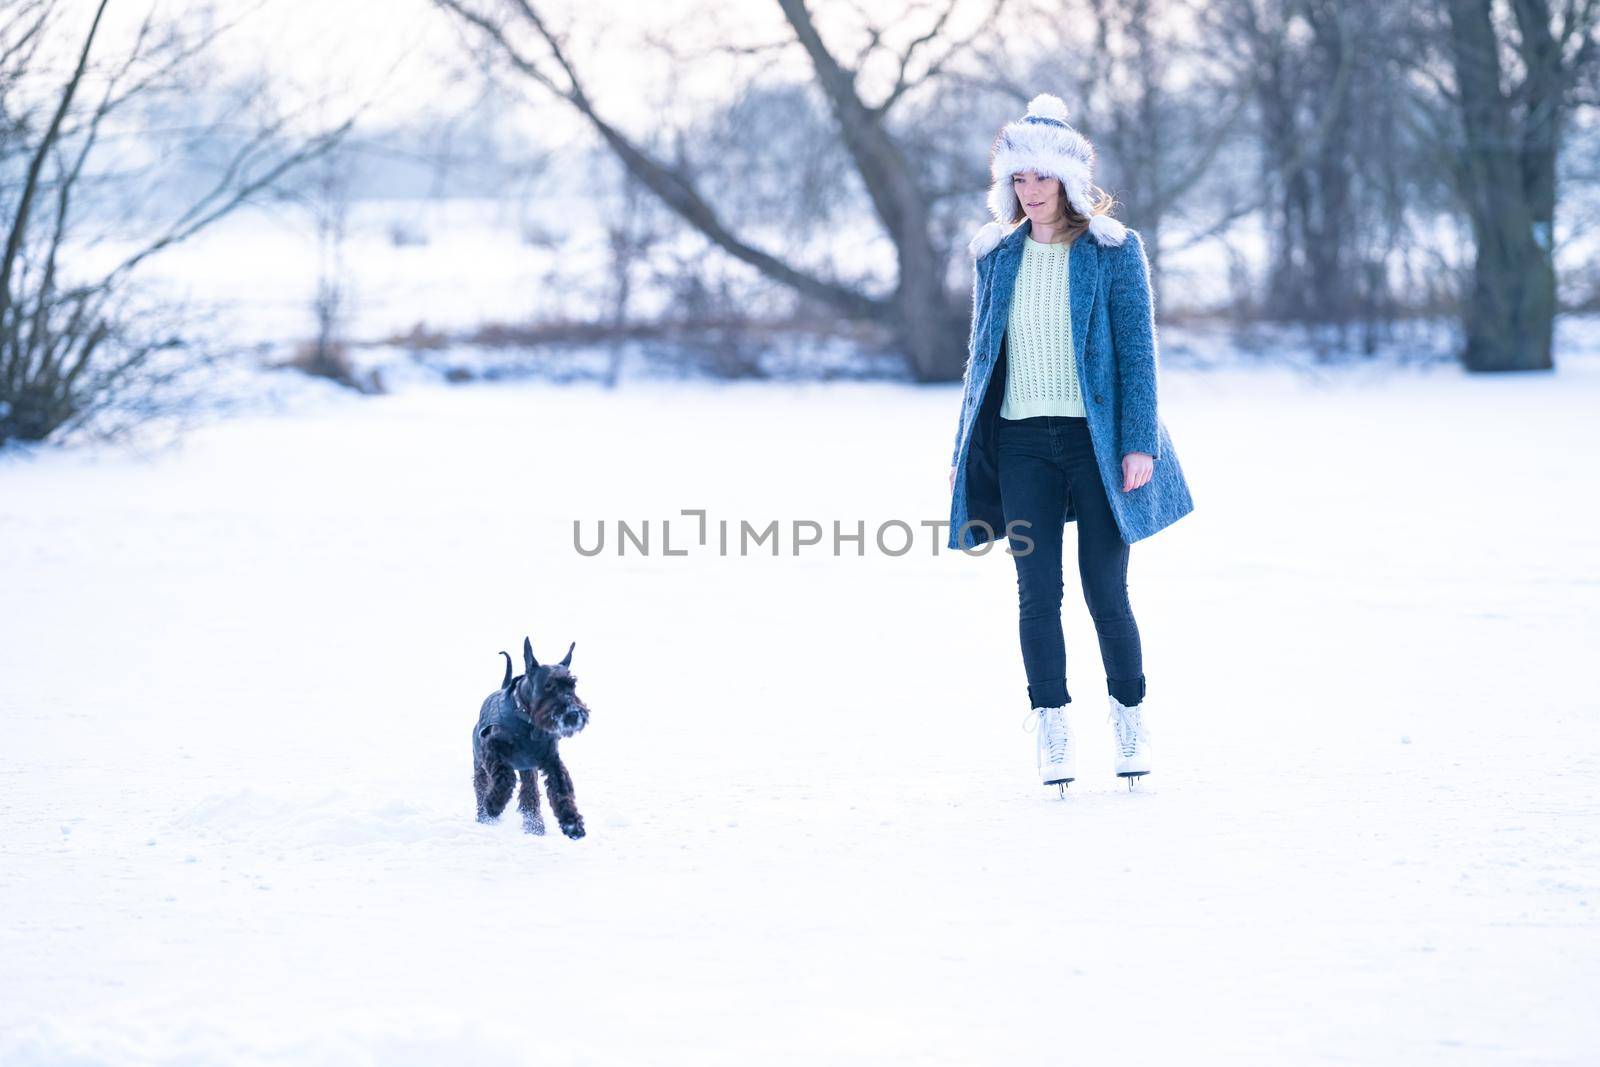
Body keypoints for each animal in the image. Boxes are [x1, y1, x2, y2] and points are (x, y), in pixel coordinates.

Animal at [470, 639, 592, 838]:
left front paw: (572, 823)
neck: (528, 724)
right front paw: (494, 804)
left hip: (528, 770)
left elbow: (562, 788)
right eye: (549, 685)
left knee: (529, 794)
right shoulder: (492, 748)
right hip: (479, 763)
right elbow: (506, 777)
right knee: (482, 785)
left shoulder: (551, 760)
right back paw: (485, 816)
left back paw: (535, 827)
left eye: (572, 686)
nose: (573, 714)